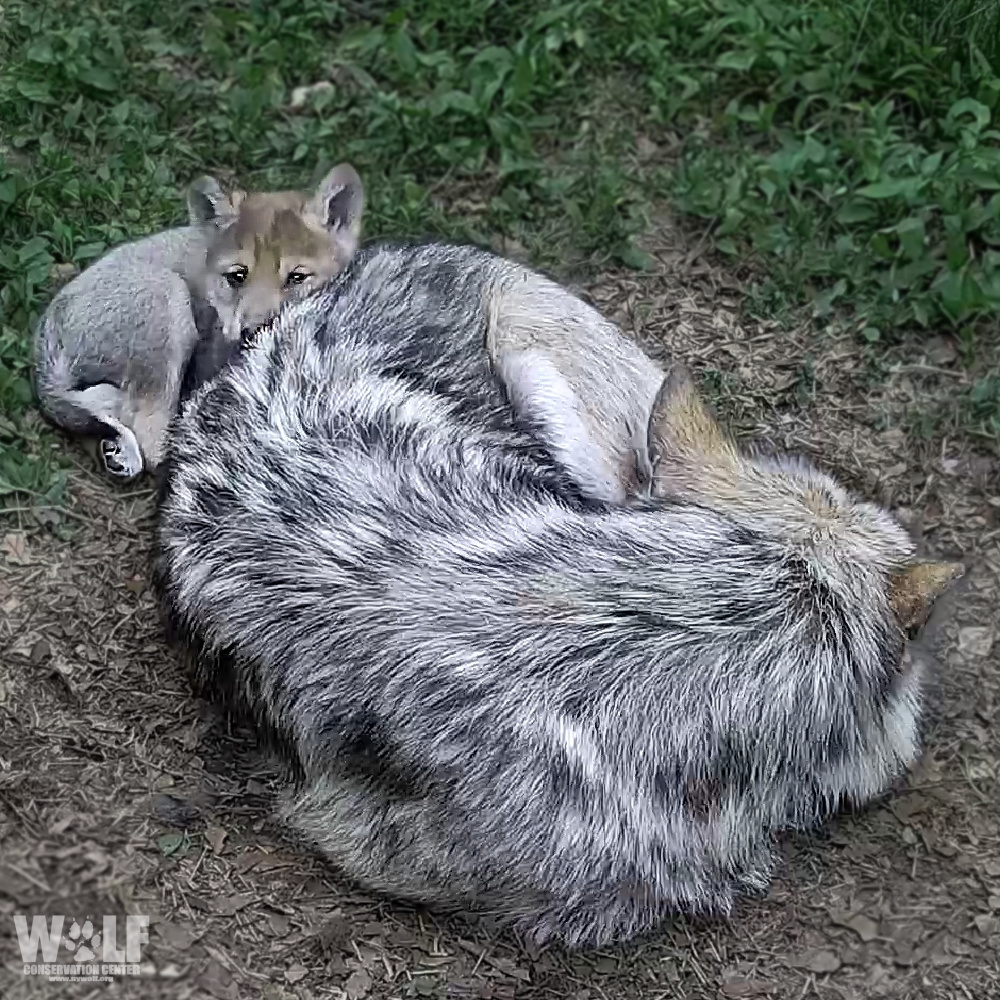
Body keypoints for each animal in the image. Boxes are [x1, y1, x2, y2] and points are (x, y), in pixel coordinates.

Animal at [33, 163, 364, 480]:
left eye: (297, 277)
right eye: (237, 275)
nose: (253, 330)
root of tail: (47, 328)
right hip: (169, 301)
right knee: (150, 437)